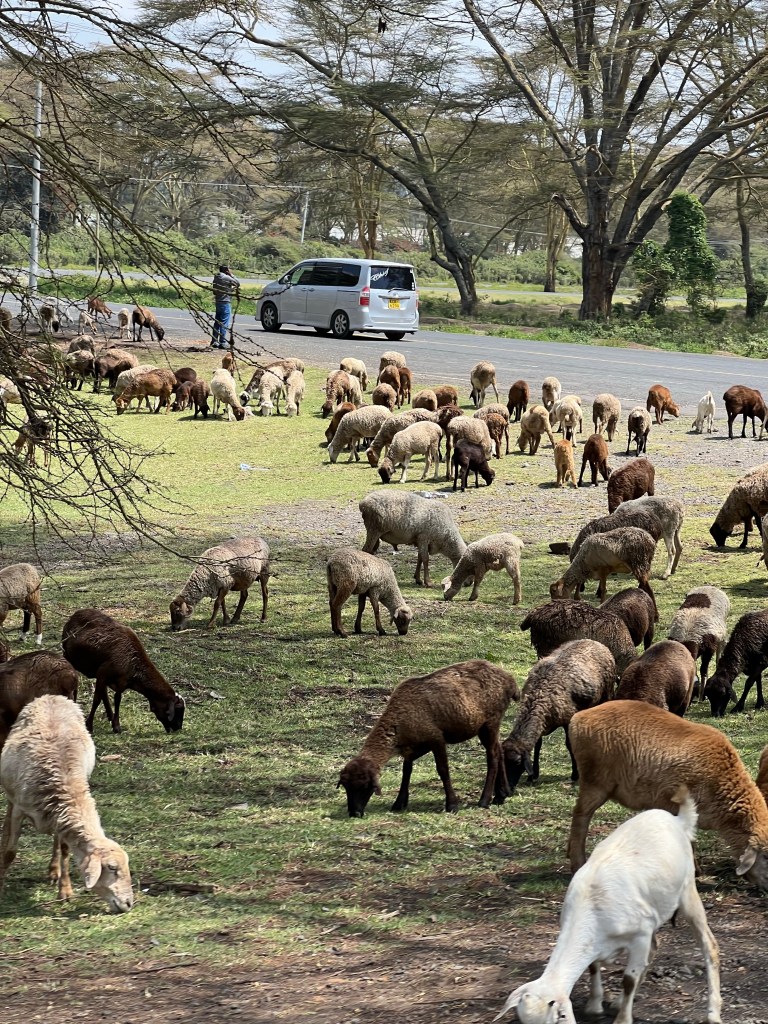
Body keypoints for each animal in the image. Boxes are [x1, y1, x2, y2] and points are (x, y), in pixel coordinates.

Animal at [0, 695, 134, 912]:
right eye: (112, 868)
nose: (129, 903)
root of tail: (53, 696)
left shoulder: (62, 819)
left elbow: (64, 850)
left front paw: (65, 890)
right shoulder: (20, 809)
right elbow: (10, 852)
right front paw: (1, 885)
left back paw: (54, 871)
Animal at [337, 660, 519, 815]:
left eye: (364, 786)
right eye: (345, 787)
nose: (354, 813)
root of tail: (510, 680)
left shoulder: (435, 738)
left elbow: (443, 770)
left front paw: (452, 804)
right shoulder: (418, 744)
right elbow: (407, 768)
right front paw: (399, 802)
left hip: (490, 722)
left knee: (493, 756)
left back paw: (485, 800)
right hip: (489, 725)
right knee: (499, 750)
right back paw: (502, 794)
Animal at [498, 791, 722, 1024]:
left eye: (559, 1017)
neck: (592, 908)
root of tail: (679, 819)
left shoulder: (640, 935)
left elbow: (628, 979)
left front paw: (623, 1019)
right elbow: (593, 967)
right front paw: (595, 1006)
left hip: (687, 891)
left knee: (709, 946)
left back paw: (713, 1013)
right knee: (654, 948)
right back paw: (617, 1002)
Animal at [500, 640, 615, 794]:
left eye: (517, 762)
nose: (505, 789)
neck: (538, 697)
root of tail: (595, 642)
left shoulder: (568, 718)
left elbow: (569, 744)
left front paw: (575, 775)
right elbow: (537, 746)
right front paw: (533, 775)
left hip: (606, 693)